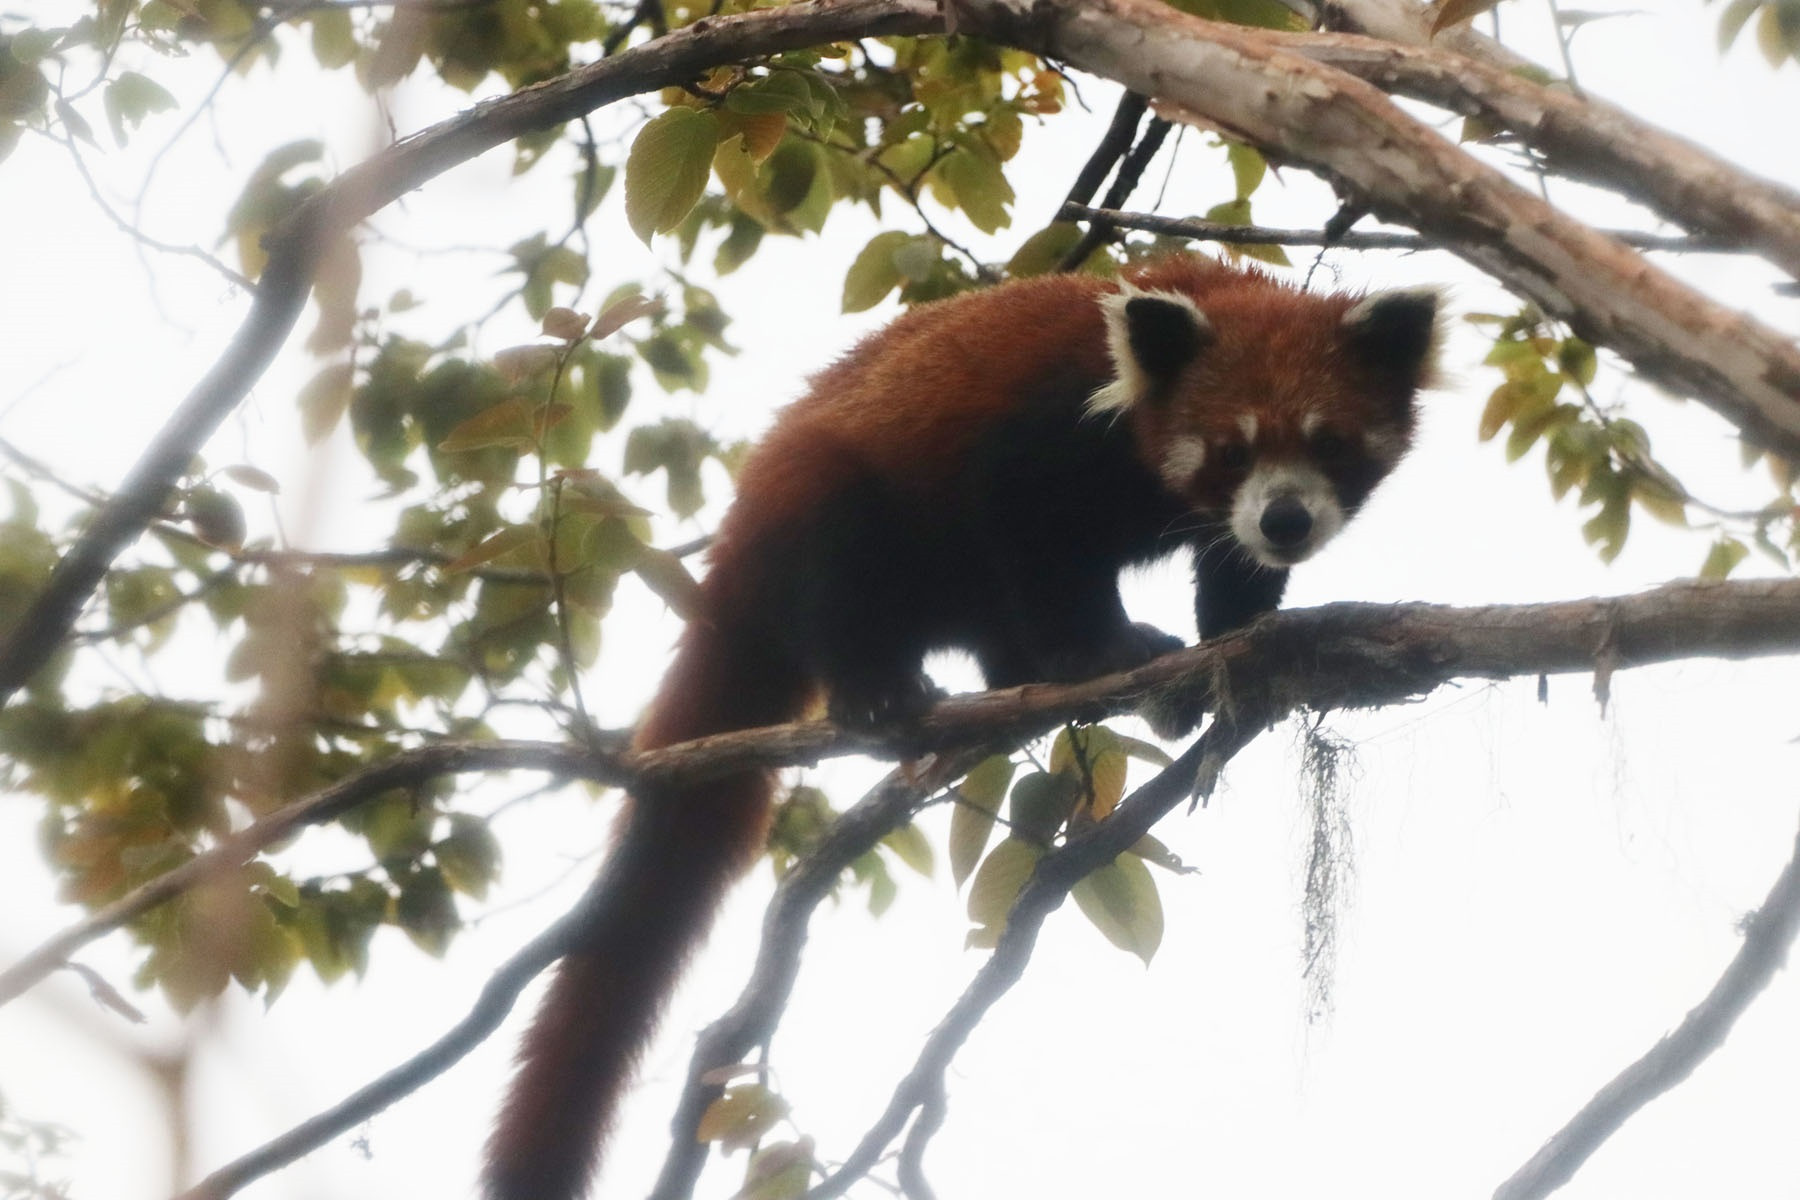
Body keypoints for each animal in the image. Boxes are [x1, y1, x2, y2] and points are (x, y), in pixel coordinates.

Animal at [478, 253, 1432, 1200]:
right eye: (1232, 450)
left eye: (1328, 443)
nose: (1284, 518)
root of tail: (732, 553)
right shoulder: (1043, 435)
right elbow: (1031, 532)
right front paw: (1097, 650)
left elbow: (1229, 574)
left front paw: (1232, 647)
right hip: (826, 498)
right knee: (841, 563)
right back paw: (881, 689)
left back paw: (1018, 677)